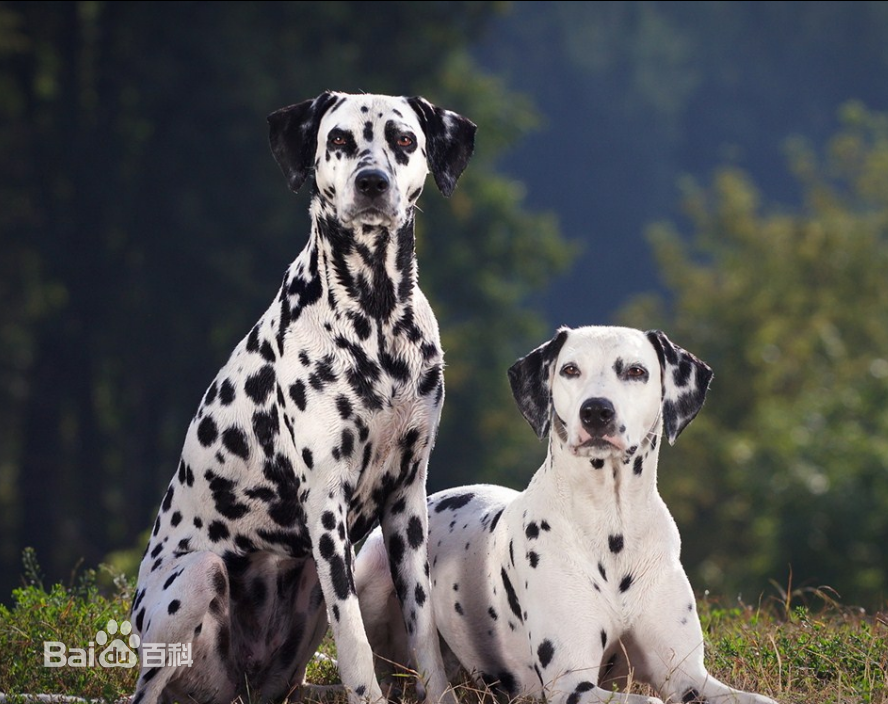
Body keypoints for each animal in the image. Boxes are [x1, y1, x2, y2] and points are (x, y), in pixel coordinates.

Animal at [129, 92, 476, 704]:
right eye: (338, 139)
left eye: (404, 140)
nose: (371, 181)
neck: (376, 315)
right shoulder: (326, 505)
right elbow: (354, 636)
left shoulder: (407, 500)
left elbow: (423, 626)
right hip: (196, 577)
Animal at [354, 326, 776, 704]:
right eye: (570, 369)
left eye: (636, 371)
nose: (596, 411)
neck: (612, 525)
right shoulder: (570, 684)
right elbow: (648, 700)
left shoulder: (688, 675)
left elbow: (756, 698)